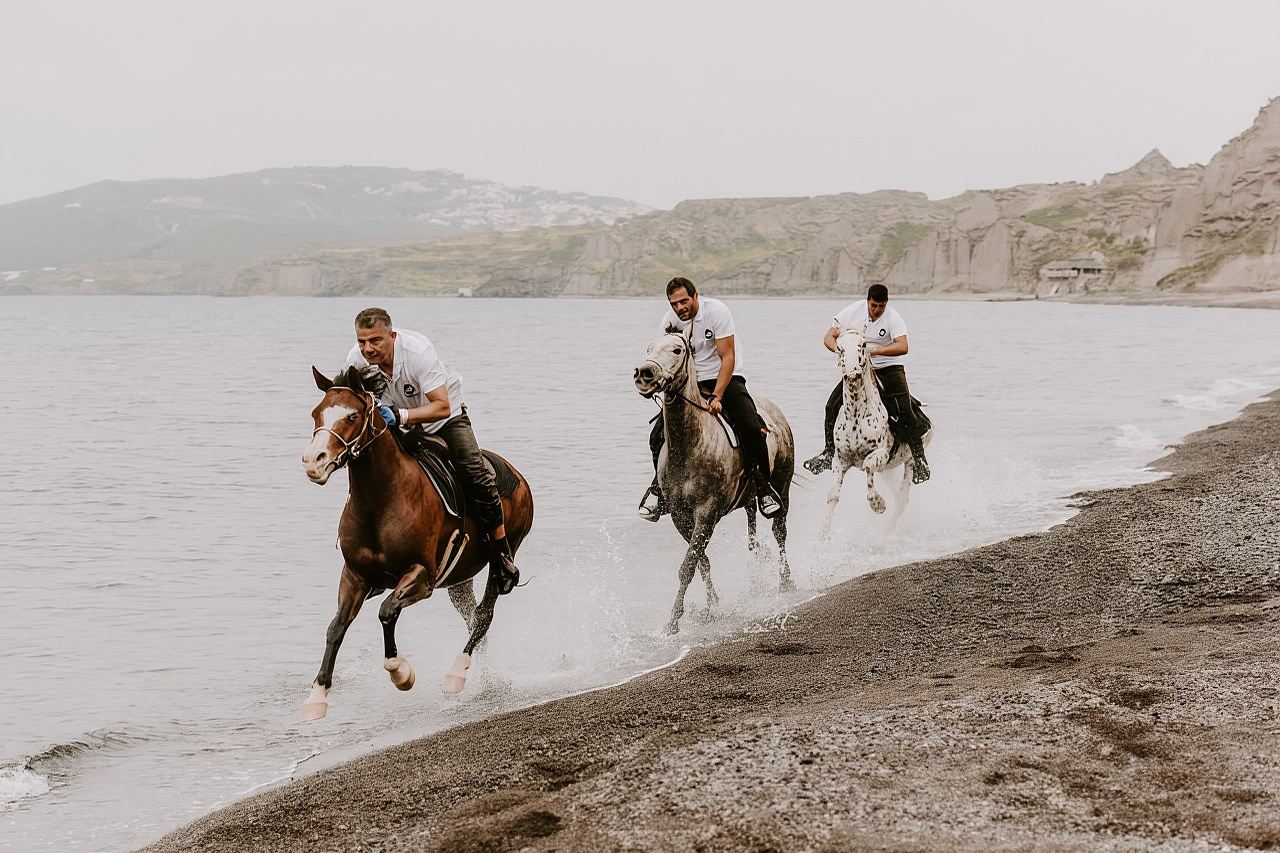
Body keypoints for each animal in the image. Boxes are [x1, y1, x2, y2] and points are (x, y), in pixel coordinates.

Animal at [298, 365, 534, 721]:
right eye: (316, 413)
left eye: (352, 415)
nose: (314, 461)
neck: (379, 502)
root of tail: (519, 477)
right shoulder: (355, 576)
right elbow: (336, 627)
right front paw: (317, 696)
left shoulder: (422, 576)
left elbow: (386, 611)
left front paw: (401, 673)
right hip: (459, 578)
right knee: (472, 618)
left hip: (501, 557)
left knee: (484, 614)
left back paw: (456, 674)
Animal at [633, 328, 795, 635]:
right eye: (648, 348)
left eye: (677, 350)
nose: (644, 373)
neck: (690, 445)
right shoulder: (681, 515)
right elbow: (700, 562)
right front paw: (712, 606)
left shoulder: (706, 513)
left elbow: (688, 565)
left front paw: (673, 622)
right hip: (749, 498)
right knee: (753, 534)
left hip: (783, 485)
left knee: (779, 532)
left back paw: (785, 582)